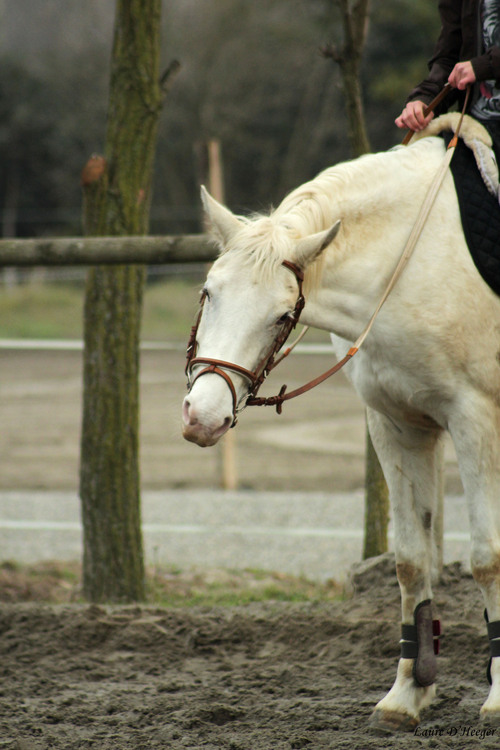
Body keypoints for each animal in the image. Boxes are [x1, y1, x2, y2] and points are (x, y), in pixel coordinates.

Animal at [182, 119, 500, 736]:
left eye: (283, 317)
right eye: (208, 293)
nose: (203, 418)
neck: (413, 265)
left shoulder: (476, 421)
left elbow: (487, 557)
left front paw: (498, 700)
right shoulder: (396, 424)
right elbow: (410, 560)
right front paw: (407, 694)